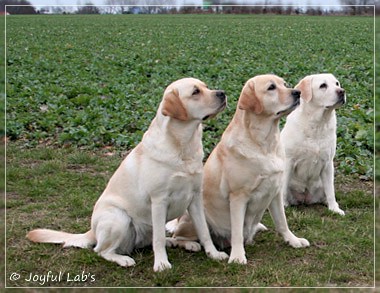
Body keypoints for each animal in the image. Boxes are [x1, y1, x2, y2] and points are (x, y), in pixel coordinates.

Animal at [28, 76, 229, 270]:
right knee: (102, 250)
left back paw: (180, 243)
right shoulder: (159, 200)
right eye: (195, 92)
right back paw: (123, 259)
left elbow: (203, 231)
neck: (183, 147)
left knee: (155, 239)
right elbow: (158, 240)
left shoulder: (195, 197)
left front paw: (213, 254)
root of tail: (92, 231)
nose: (222, 93)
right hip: (119, 218)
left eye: (206, 86)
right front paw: (161, 264)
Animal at [168, 74, 310, 264]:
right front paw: (237, 256)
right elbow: (236, 231)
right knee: (178, 237)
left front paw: (293, 240)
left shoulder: (275, 192)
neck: (265, 144)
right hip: (194, 217)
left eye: (284, 84)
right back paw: (191, 244)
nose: (297, 92)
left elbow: (282, 222)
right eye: (271, 87)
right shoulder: (238, 197)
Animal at [280, 73, 346, 214]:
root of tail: (305, 199)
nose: (342, 91)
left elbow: (331, 190)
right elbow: (283, 188)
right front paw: (283, 205)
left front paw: (334, 208)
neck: (318, 124)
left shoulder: (328, 163)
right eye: (323, 85)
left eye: (337, 83)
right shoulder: (289, 160)